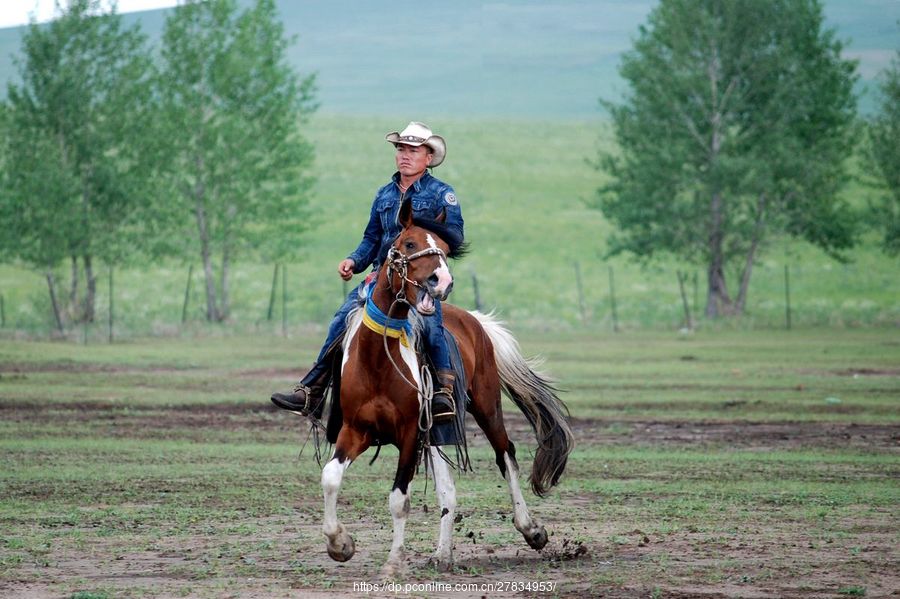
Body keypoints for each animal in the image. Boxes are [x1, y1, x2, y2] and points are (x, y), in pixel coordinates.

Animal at [320, 200, 572, 576]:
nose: (441, 281)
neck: (378, 359)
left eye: (445, 247)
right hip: (437, 430)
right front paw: (340, 544)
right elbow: (331, 477)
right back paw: (442, 554)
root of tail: (474, 321)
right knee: (447, 490)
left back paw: (531, 530)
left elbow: (399, 499)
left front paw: (393, 563)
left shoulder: (410, 433)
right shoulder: (355, 430)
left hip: (486, 405)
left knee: (507, 456)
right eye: (409, 243)